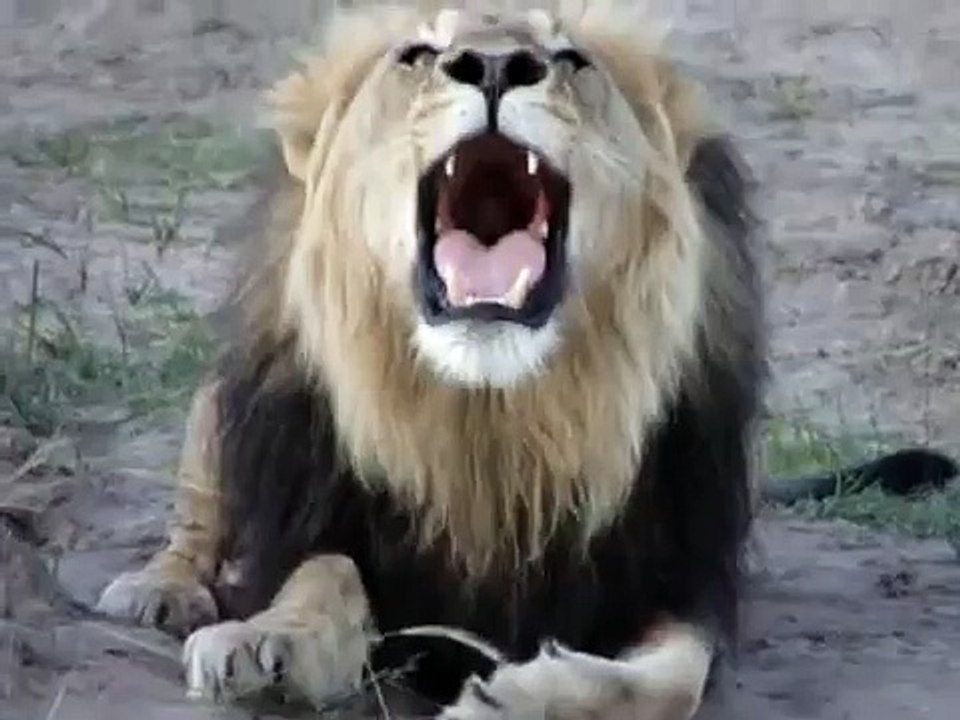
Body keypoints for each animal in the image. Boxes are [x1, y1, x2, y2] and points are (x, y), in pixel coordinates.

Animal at [94, 3, 957, 719]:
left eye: (571, 58)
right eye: (417, 55)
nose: (496, 64)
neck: (495, 423)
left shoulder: (672, 580)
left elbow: (668, 683)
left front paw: (515, 696)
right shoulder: (317, 514)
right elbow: (322, 574)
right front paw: (264, 644)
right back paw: (158, 591)